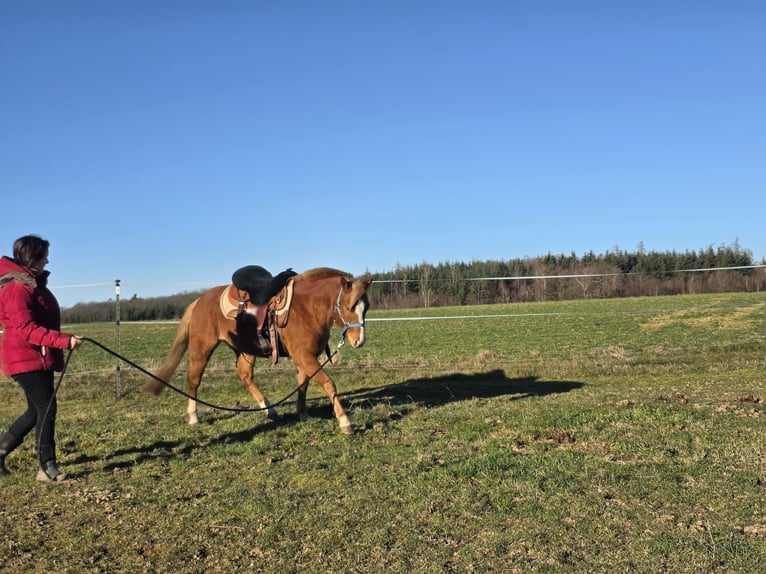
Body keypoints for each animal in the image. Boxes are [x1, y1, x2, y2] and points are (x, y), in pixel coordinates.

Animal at [143, 267, 372, 434]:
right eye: (349, 307)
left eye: (366, 308)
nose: (359, 341)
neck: (306, 308)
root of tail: (199, 300)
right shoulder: (304, 356)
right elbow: (328, 383)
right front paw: (345, 421)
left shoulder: (306, 357)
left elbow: (303, 383)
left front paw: (302, 413)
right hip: (202, 349)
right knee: (194, 380)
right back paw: (193, 416)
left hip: (244, 350)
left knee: (245, 376)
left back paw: (269, 409)